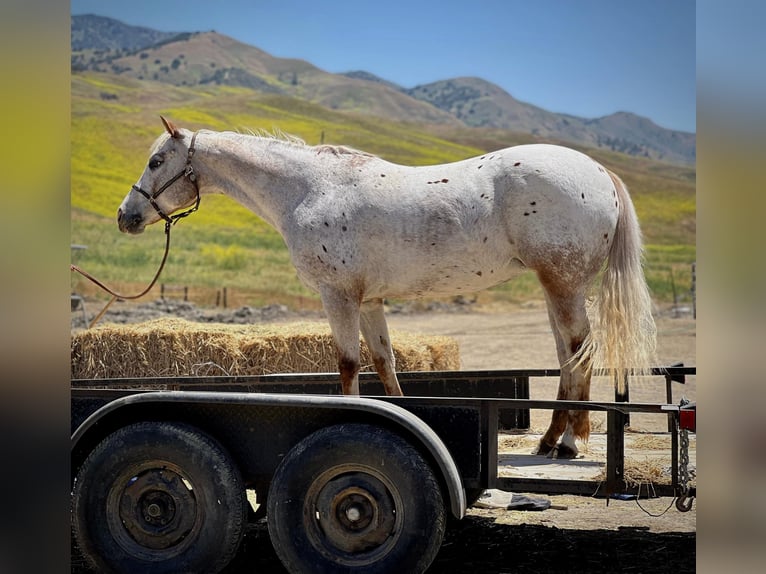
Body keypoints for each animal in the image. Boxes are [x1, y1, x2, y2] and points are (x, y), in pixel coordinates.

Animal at [117, 119, 656, 462]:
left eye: (156, 161)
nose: (126, 216)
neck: (309, 189)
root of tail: (598, 171)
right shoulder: (370, 301)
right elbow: (384, 362)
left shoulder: (338, 296)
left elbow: (348, 363)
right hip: (554, 288)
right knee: (567, 355)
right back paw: (550, 439)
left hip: (562, 285)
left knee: (579, 351)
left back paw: (569, 443)